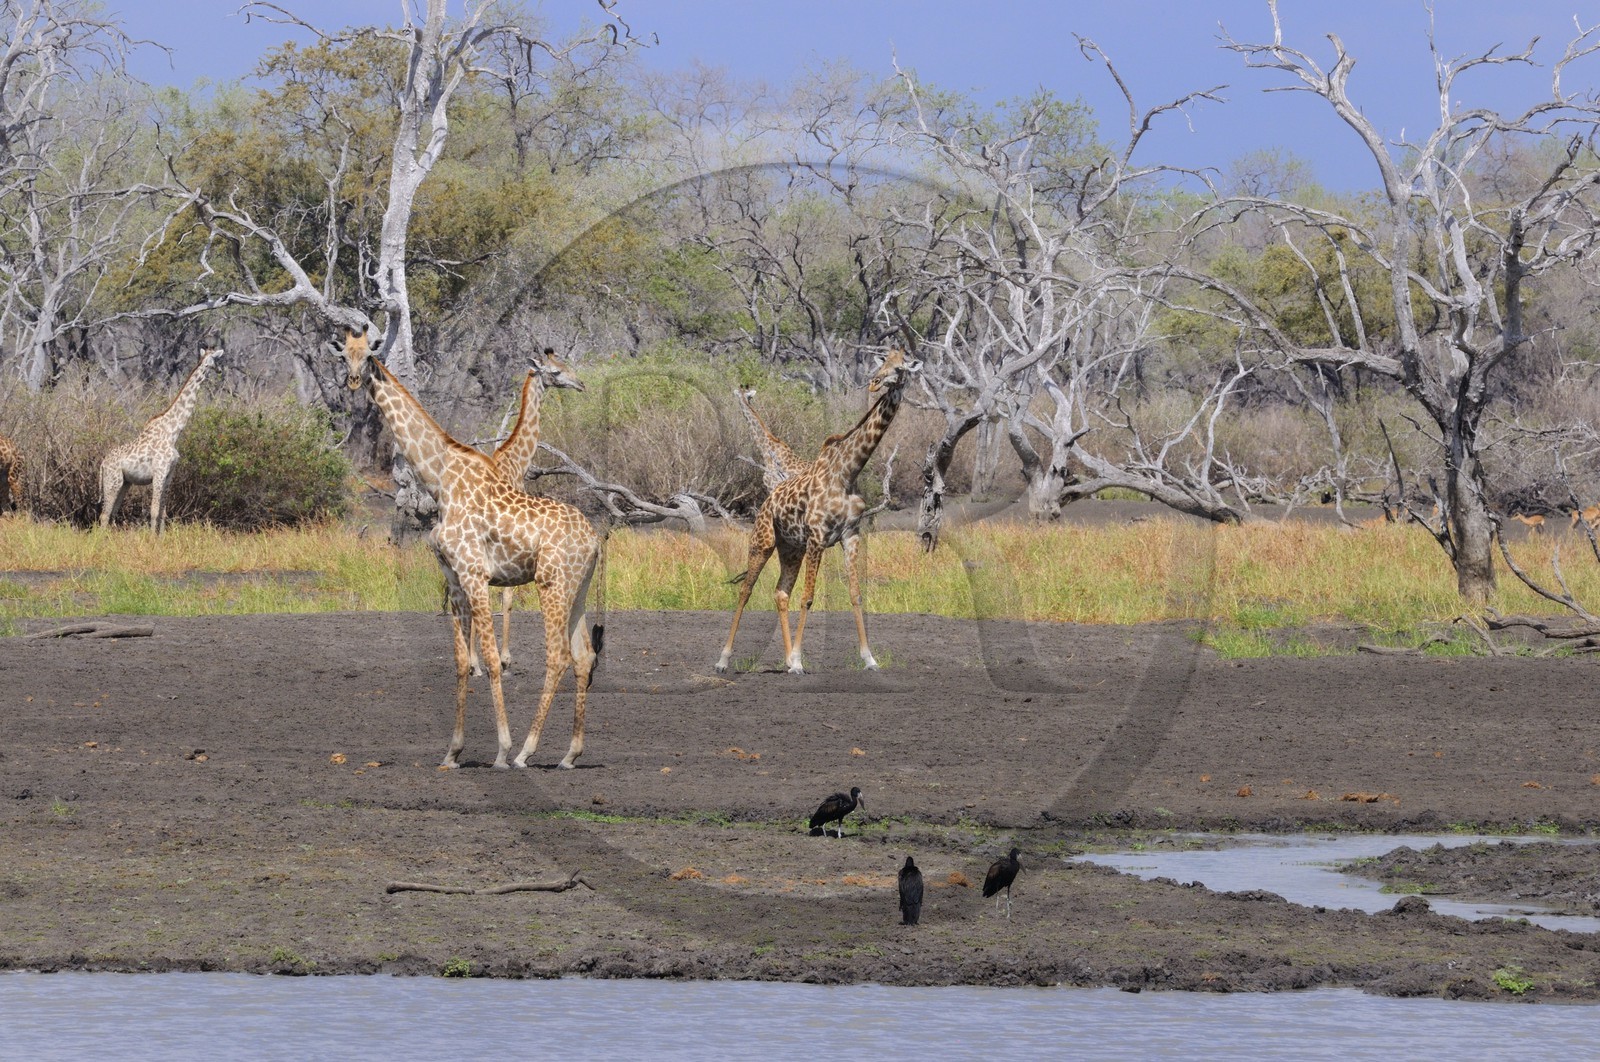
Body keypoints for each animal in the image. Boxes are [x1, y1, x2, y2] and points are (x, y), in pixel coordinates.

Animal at [99, 347, 224, 532]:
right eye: (217, 359)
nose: (220, 370)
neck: (172, 433)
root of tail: (102, 464)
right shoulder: (159, 471)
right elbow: (153, 510)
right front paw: (152, 537)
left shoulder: (169, 474)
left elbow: (163, 512)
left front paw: (162, 536)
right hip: (112, 481)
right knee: (104, 514)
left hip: (124, 483)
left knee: (113, 512)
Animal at [340, 328, 601, 769]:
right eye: (343, 355)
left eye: (368, 354)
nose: (354, 380)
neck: (438, 477)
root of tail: (595, 539)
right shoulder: (455, 578)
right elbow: (462, 662)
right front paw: (453, 752)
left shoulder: (476, 575)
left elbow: (492, 660)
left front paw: (501, 749)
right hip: (577, 589)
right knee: (583, 656)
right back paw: (570, 753)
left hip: (551, 584)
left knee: (558, 656)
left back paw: (526, 752)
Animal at [716, 349, 921, 675]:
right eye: (882, 364)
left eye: (900, 367)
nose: (875, 382)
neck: (848, 472)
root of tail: (767, 501)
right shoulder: (817, 536)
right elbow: (809, 598)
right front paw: (800, 660)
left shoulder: (850, 535)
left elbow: (856, 595)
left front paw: (869, 659)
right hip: (763, 541)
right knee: (746, 590)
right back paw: (723, 660)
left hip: (791, 548)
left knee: (780, 591)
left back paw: (786, 660)